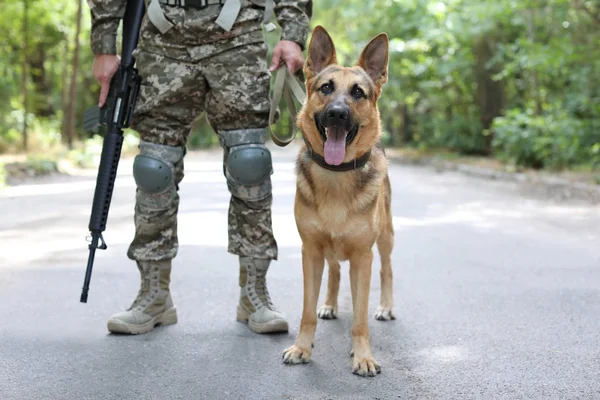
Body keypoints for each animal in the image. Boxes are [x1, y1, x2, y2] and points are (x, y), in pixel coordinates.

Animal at [284, 25, 396, 378]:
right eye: (326, 88)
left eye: (358, 92)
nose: (337, 113)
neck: (336, 176)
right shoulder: (310, 252)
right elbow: (306, 311)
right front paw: (302, 348)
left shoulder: (363, 256)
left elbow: (359, 317)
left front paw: (363, 356)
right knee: (334, 272)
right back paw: (330, 304)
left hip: (385, 239)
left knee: (387, 270)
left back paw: (386, 307)